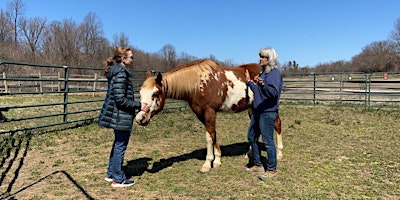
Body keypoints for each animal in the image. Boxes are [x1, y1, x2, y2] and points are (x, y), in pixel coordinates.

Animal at [136, 58, 282, 173]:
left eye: (155, 93)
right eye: (141, 92)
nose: (140, 118)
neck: (199, 84)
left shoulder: (210, 112)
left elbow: (208, 137)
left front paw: (207, 163)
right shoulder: (202, 114)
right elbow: (213, 135)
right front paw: (217, 160)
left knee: (277, 124)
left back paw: (280, 153)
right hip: (252, 109)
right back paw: (250, 153)